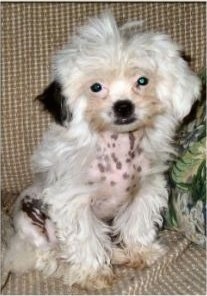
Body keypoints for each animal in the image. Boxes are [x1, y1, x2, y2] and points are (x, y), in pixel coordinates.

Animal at [4, 13, 200, 290]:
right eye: (96, 87)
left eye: (142, 81)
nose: (123, 106)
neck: (118, 146)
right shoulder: (74, 203)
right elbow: (85, 240)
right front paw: (93, 274)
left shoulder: (145, 191)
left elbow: (138, 224)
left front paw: (141, 252)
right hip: (32, 225)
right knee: (49, 256)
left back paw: (116, 253)